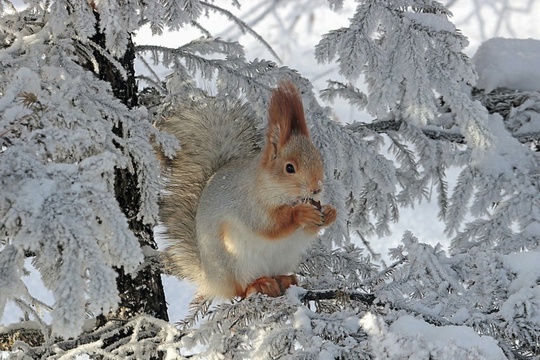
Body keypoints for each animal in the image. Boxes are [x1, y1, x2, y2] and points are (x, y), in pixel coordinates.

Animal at [159, 81, 338, 298]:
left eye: (319, 158)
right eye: (289, 168)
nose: (316, 189)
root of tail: (211, 279)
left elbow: (306, 232)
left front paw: (330, 212)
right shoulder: (246, 204)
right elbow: (269, 225)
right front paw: (301, 213)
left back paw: (285, 279)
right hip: (236, 260)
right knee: (240, 290)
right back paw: (260, 284)